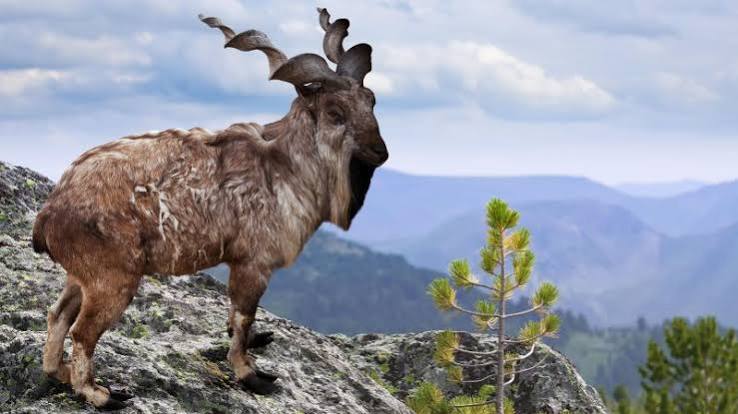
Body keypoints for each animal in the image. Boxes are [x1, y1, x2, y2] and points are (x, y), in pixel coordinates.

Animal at [31, 8, 387, 409]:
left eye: (371, 100)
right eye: (334, 111)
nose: (381, 152)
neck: (283, 167)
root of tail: (48, 216)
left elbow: (236, 318)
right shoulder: (252, 263)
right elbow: (244, 317)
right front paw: (251, 375)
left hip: (81, 276)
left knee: (58, 315)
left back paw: (59, 372)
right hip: (111, 278)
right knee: (83, 331)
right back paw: (100, 393)